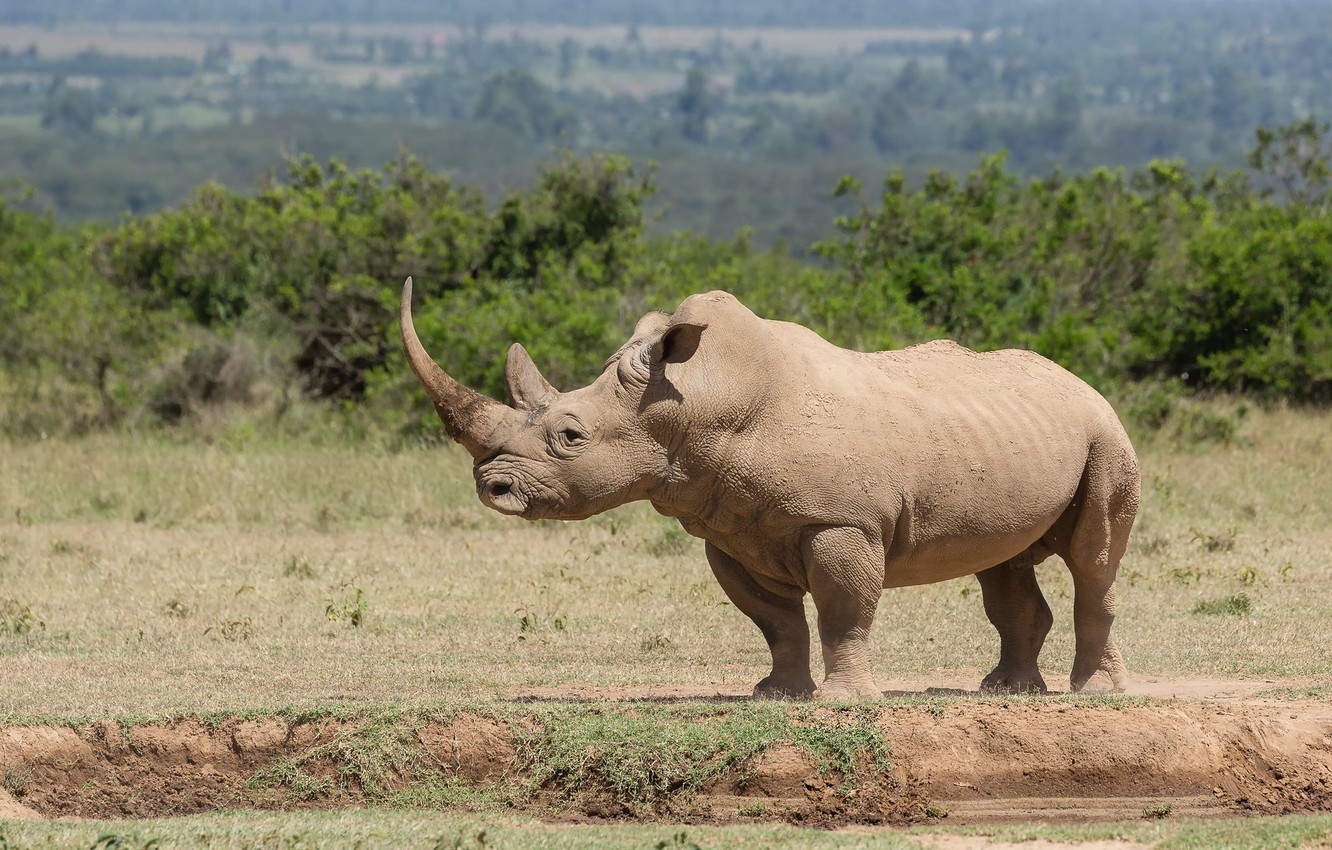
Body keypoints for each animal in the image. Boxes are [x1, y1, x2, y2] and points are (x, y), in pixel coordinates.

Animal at [400, 279, 1139, 699]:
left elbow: (843, 610)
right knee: (1005, 564)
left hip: (1106, 434)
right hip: (1018, 435)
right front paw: (776, 696)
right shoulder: (731, 528)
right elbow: (774, 620)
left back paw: (1093, 695)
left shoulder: (842, 521)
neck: (694, 400)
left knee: (1094, 559)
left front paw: (846, 703)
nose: (493, 487)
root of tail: (1080, 382)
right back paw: (1006, 692)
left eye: (570, 436)